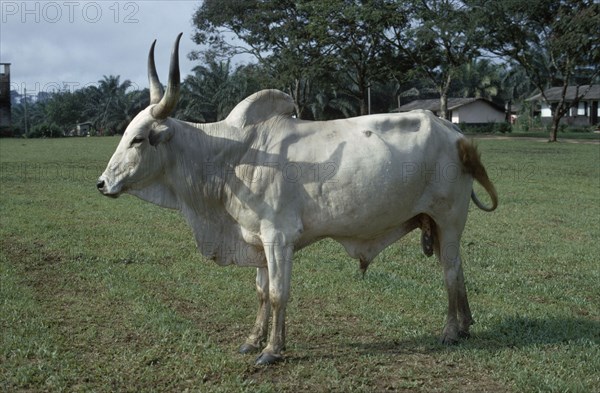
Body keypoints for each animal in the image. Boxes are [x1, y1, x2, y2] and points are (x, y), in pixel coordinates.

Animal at [97, 34, 496, 364]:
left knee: (450, 270)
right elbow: (261, 292)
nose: (102, 183)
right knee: (456, 268)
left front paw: (273, 350)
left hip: (449, 218)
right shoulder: (256, 239)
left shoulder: (278, 237)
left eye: (138, 139)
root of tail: (455, 134)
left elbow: (278, 293)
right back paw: (465, 325)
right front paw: (253, 341)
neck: (230, 156)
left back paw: (450, 331)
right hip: (439, 224)